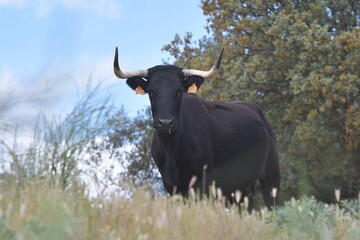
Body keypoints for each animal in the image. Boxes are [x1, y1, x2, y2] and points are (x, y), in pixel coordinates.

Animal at [114, 46, 280, 208]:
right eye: (151, 91)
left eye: (179, 91)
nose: (165, 122)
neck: (172, 150)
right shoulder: (171, 186)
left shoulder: (204, 182)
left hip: (271, 176)